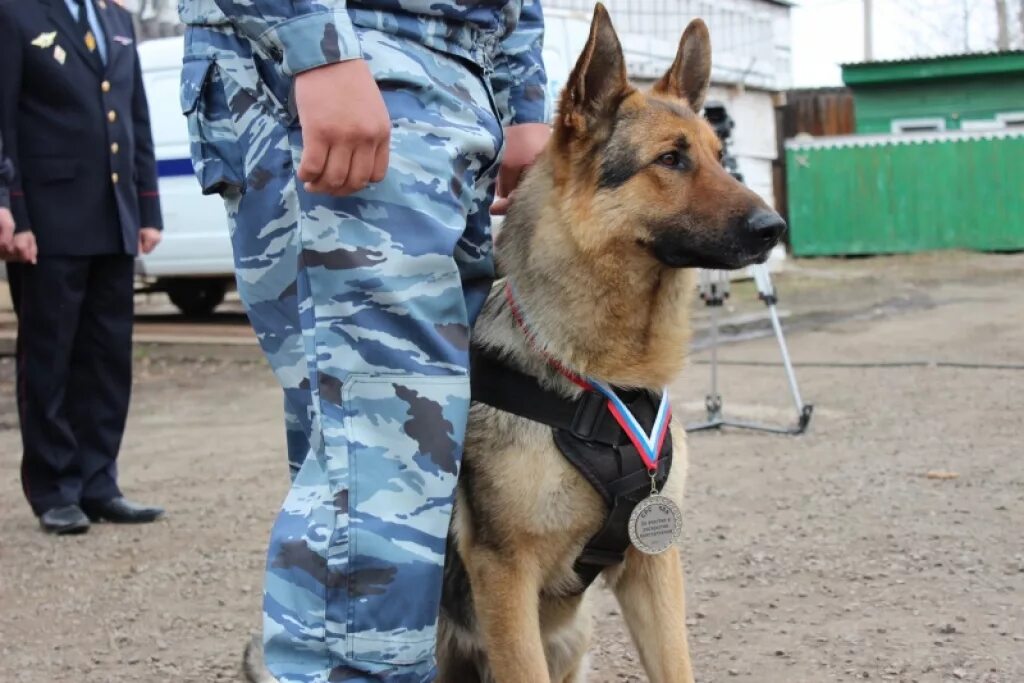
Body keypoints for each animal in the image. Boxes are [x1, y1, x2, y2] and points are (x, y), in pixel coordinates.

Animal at [244, 5, 785, 682]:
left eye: (718, 155)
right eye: (670, 159)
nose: (775, 228)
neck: (601, 376)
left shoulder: (652, 565)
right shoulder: (505, 574)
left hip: (572, 639)